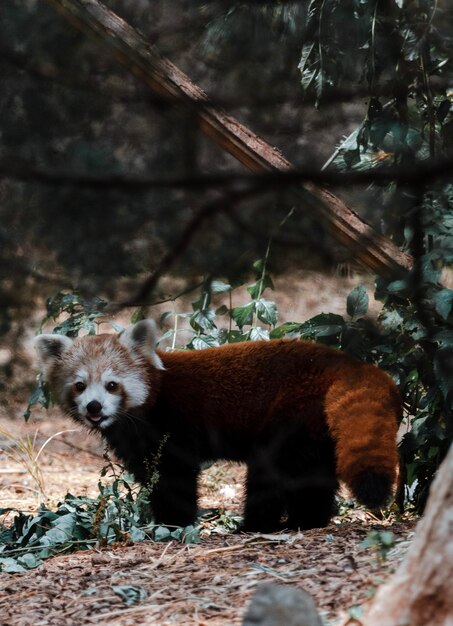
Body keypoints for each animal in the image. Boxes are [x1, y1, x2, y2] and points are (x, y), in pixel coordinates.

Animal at [35, 320, 400, 528]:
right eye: (80, 385)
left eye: (112, 385)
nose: (94, 407)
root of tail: (343, 362)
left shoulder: (175, 427)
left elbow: (176, 477)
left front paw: (174, 522)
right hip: (316, 425)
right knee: (316, 474)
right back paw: (309, 520)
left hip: (289, 414)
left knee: (273, 471)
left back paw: (260, 524)